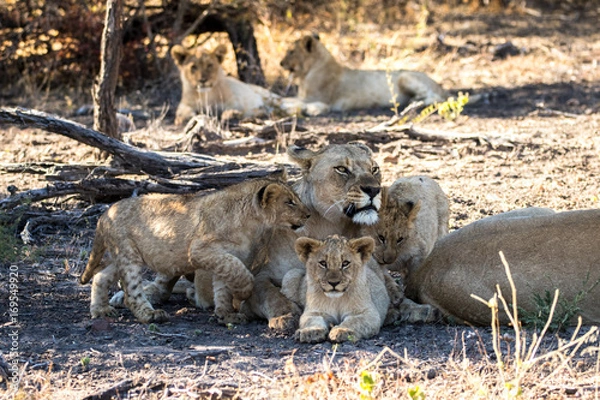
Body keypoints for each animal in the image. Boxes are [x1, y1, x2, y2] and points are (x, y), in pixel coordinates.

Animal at [280, 33, 446, 113]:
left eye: (291, 51)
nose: (281, 63)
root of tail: (439, 85)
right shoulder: (307, 97)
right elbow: (289, 98)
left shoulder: (317, 98)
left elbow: (292, 100)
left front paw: (283, 105)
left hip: (405, 77)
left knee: (437, 98)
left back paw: (418, 101)